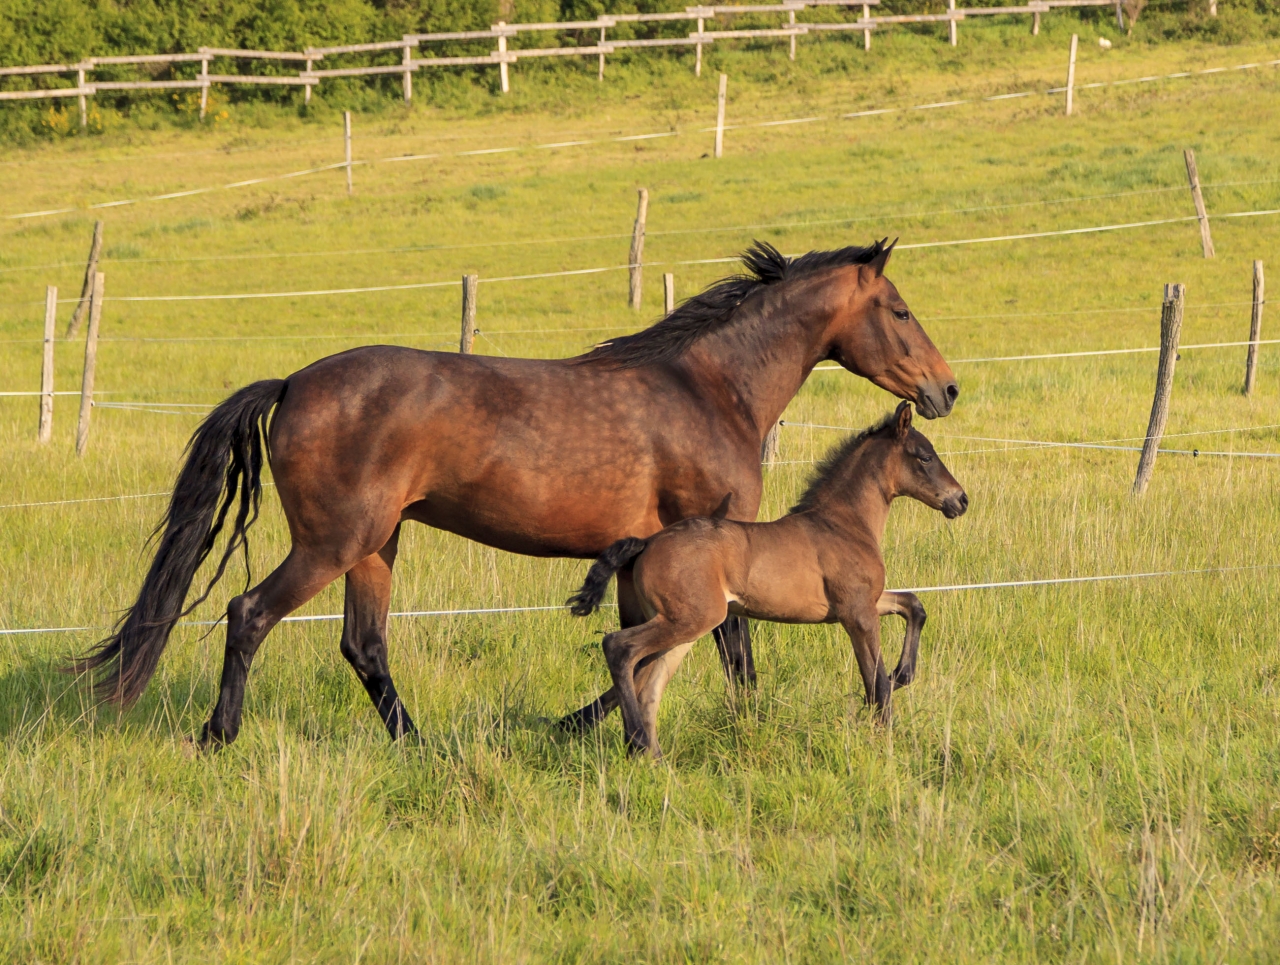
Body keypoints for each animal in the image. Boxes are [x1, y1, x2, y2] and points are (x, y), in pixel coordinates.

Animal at [567, 402, 967, 758]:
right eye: (925, 457)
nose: (960, 500)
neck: (843, 523)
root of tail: (647, 543)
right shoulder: (857, 614)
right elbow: (875, 680)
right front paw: (884, 736)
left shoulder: (863, 603)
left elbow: (914, 605)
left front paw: (904, 674)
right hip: (691, 619)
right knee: (619, 648)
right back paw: (636, 742)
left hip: (682, 626)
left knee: (649, 684)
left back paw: (654, 760)